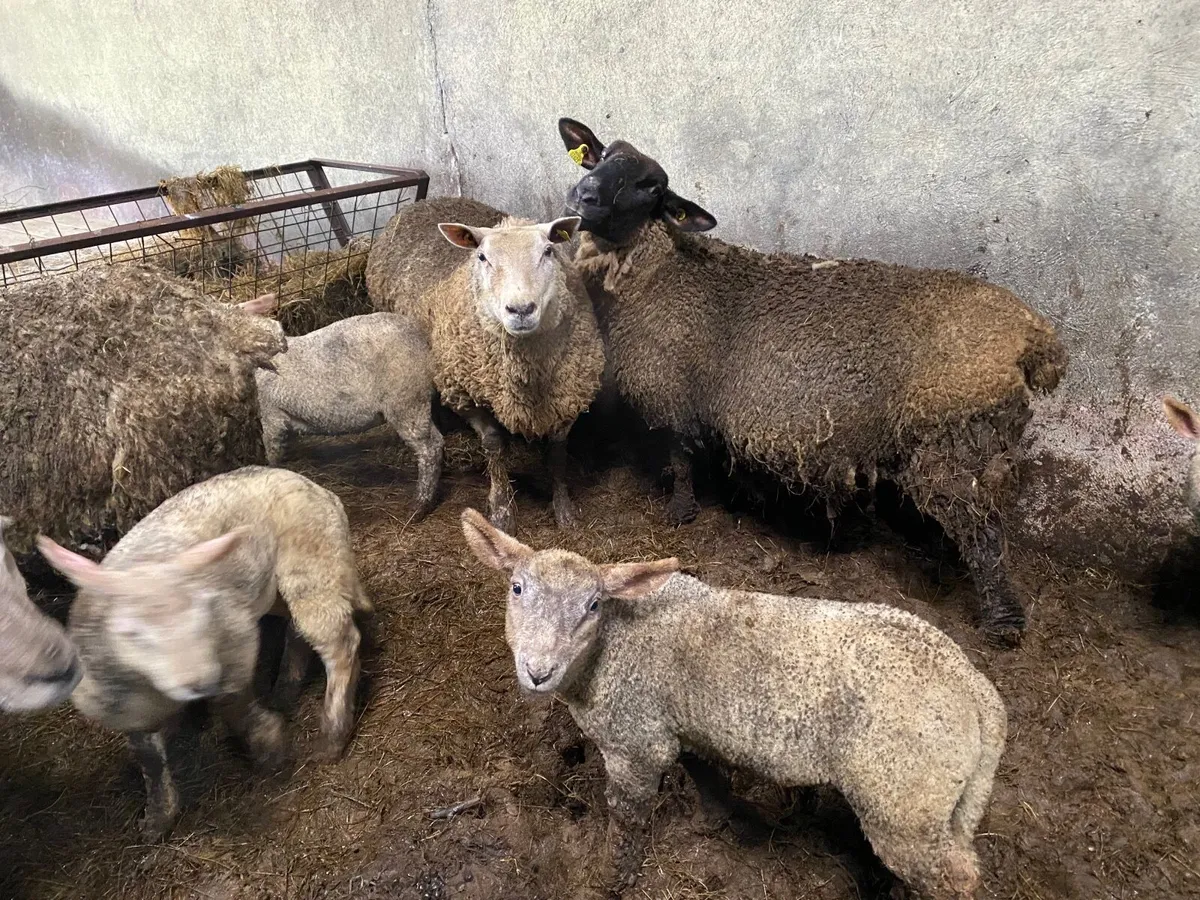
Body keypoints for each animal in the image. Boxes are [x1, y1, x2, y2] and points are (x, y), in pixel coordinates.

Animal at [36, 466, 370, 840]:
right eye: (130, 633)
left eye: (204, 611)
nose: (199, 681)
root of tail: (312, 485)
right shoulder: (130, 710)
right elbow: (150, 760)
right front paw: (158, 818)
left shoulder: (235, 648)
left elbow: (236, 707)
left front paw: (270, 749)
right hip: (277, 585)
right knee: (298, 630)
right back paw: (285, 688)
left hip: (313, 566)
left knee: (340, 644)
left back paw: (332, 735)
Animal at [251, 300, 444, 519]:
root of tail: (420, 334)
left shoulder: (271, 416)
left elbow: (272, 454)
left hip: (407, 398)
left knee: (430, 448)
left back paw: (421, 504)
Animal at [366, 198, 605, 530]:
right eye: (482, 257)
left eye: (548, 251)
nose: (521, 309)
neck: (528, 373)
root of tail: (425, 202)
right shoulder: (466, 395)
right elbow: (494, 446)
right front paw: (501, 511)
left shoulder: (569, 394)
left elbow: (557, 454)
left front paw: (564, 511)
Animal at [461, 507, 1006, 899]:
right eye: (516, 588)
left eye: (593, 605)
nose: (538, 671)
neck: (609, 651)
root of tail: (980, 694)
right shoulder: (680, 726)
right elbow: (702, 768)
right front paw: (719, 817)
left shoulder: (634, 743)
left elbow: (626, 820)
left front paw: (610, 879)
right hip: (945, 802)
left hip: (902, 796)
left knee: (952, 879)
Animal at [554, 117, 1068, 645]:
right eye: (600, 157)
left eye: (651, 187)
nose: (584, 195)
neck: (658, 271)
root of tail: (1033, 335)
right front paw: (746, 497)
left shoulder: (674, 390)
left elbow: (679, 457)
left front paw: (681, 512)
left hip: (956, 436)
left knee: (983, 532)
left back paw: (1003, 623)